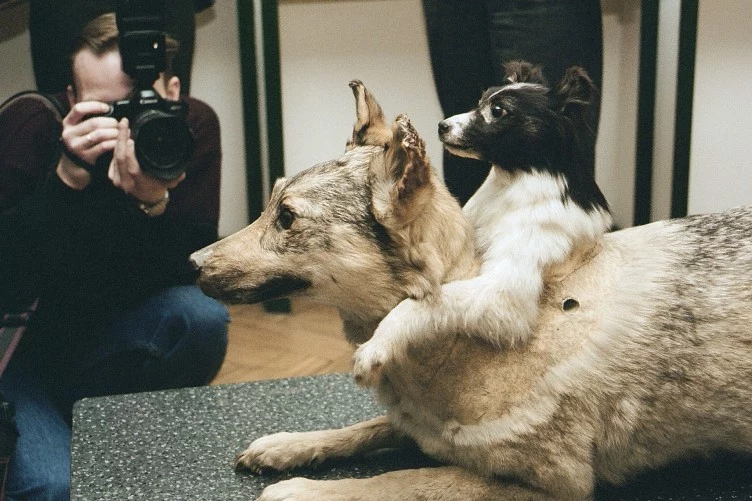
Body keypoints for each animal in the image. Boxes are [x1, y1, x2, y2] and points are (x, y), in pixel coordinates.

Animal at [352, 62, 612, 382]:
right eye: (479, 102)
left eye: (497, 111)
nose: (442, 125)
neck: (513, 183)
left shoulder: (503, 292)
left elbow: (422, 305)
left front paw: (376, 347)